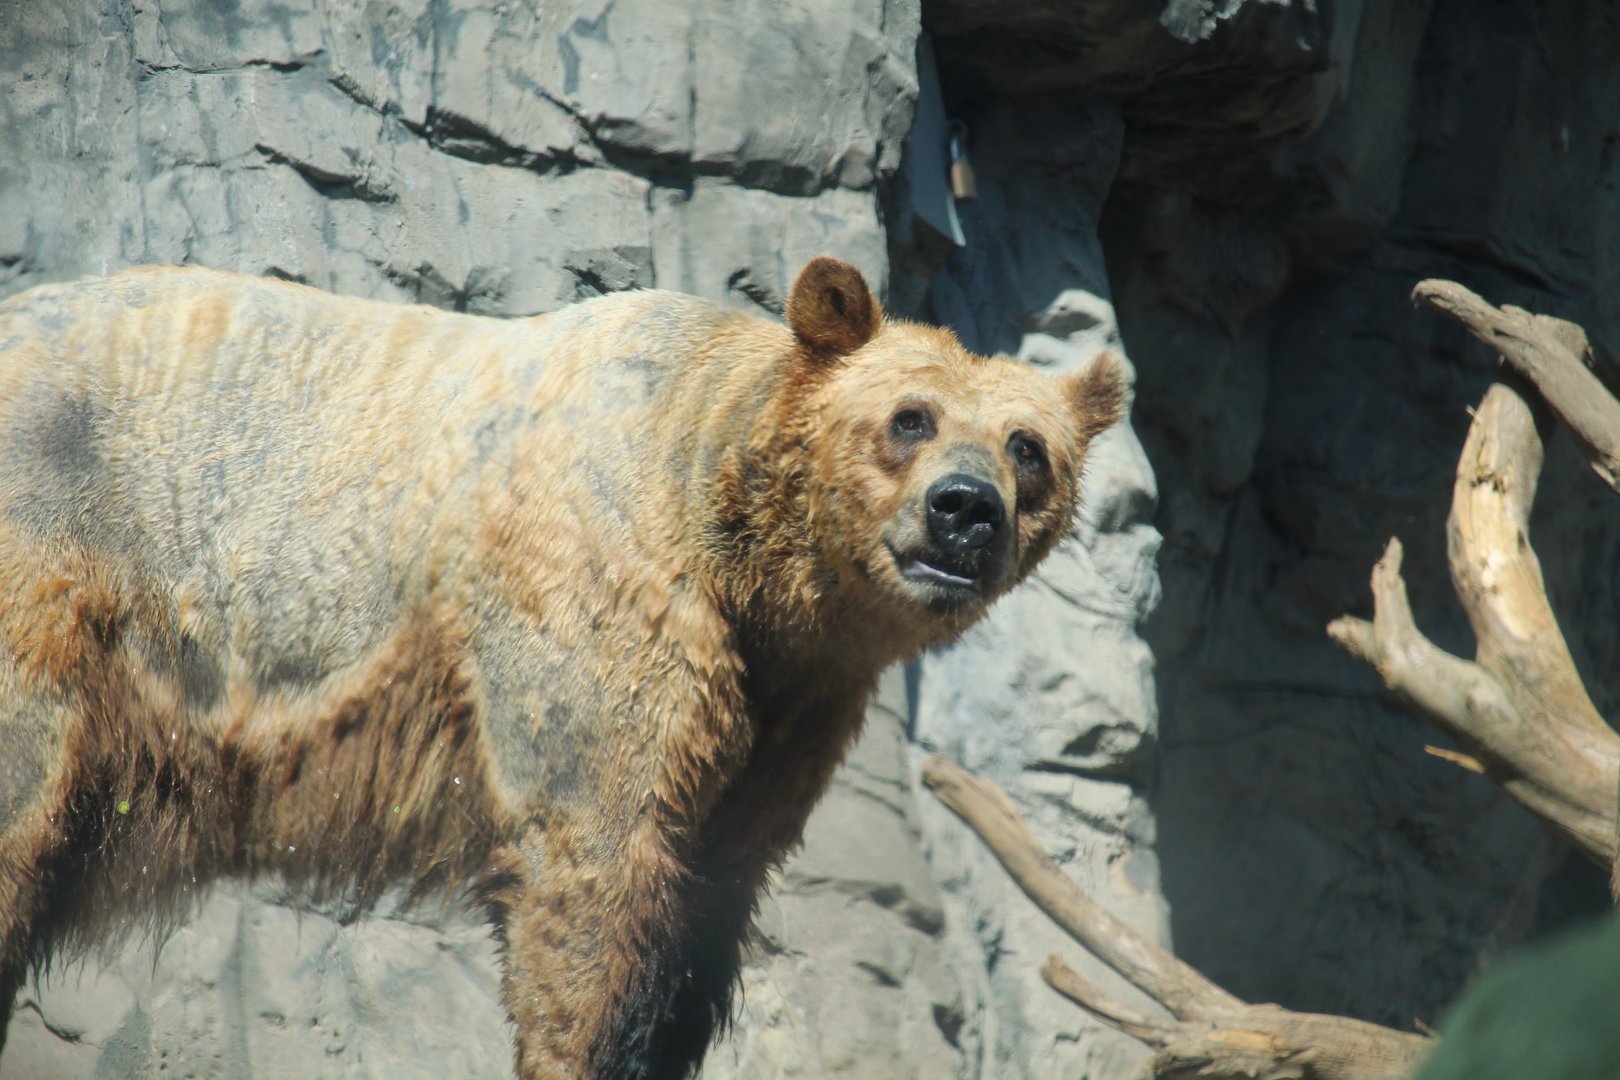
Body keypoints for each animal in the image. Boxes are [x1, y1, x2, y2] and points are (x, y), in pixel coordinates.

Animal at [0, 256, 1126, 1079]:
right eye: (910, 417)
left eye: (1028, 446)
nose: (965, 511)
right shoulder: (603, 594)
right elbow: (597, 866)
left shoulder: (787, 706)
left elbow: (708, 905)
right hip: (51, 560)